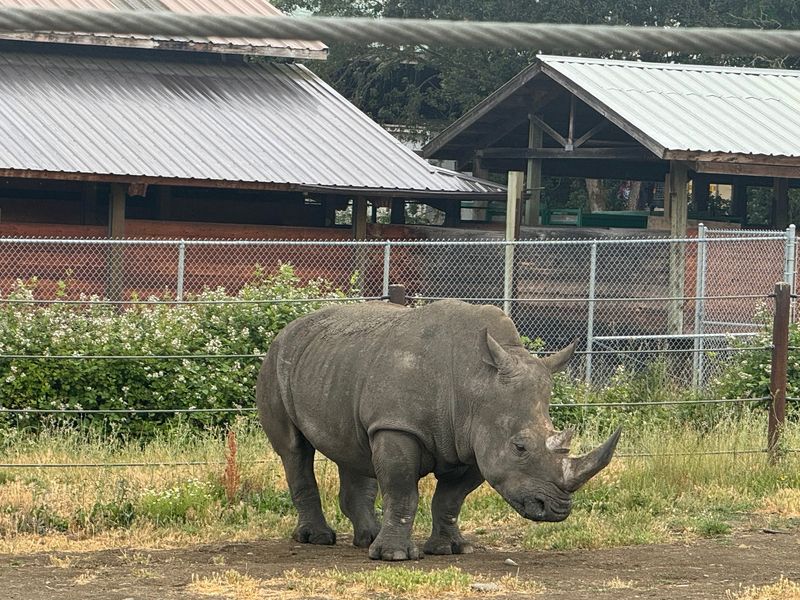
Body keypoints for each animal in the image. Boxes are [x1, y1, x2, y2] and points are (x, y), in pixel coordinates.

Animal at [256, 299, 620, 561]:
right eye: (520, 447)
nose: (557, 510)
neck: (477, 383)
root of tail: (289, 327)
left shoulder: (474, 443)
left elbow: (450, 499)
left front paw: (452, 549)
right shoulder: (398, 426)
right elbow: (402, 491)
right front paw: (394, 556)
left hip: (339, 367)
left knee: (354, 449)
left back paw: (367, 538)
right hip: (277, 361)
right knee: (294, 450)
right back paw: (318, 539)